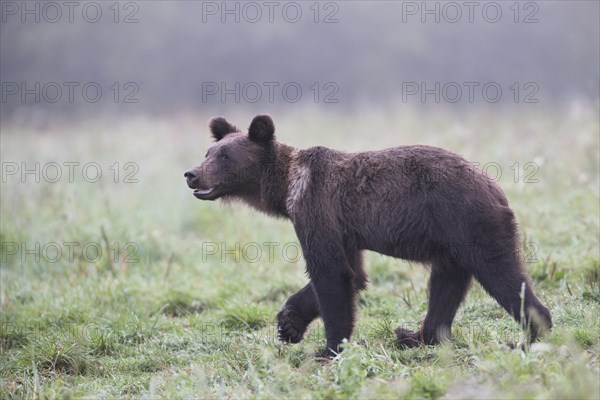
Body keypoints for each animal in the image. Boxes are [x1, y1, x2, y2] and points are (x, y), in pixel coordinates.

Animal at [184, 114, 552, 358]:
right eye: (207, 152)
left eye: (224, 156)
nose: (191, 174)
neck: (286, 189)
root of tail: (496, 188)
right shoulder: (344, 231)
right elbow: (350, 273)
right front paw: (288, 324)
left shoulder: (316, 208)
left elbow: (331, 275)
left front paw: (328, 348)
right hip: (450, 242)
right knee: (446, 286)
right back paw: (415, 335)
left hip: (469, 222)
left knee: (501, 274)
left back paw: (529, 336)